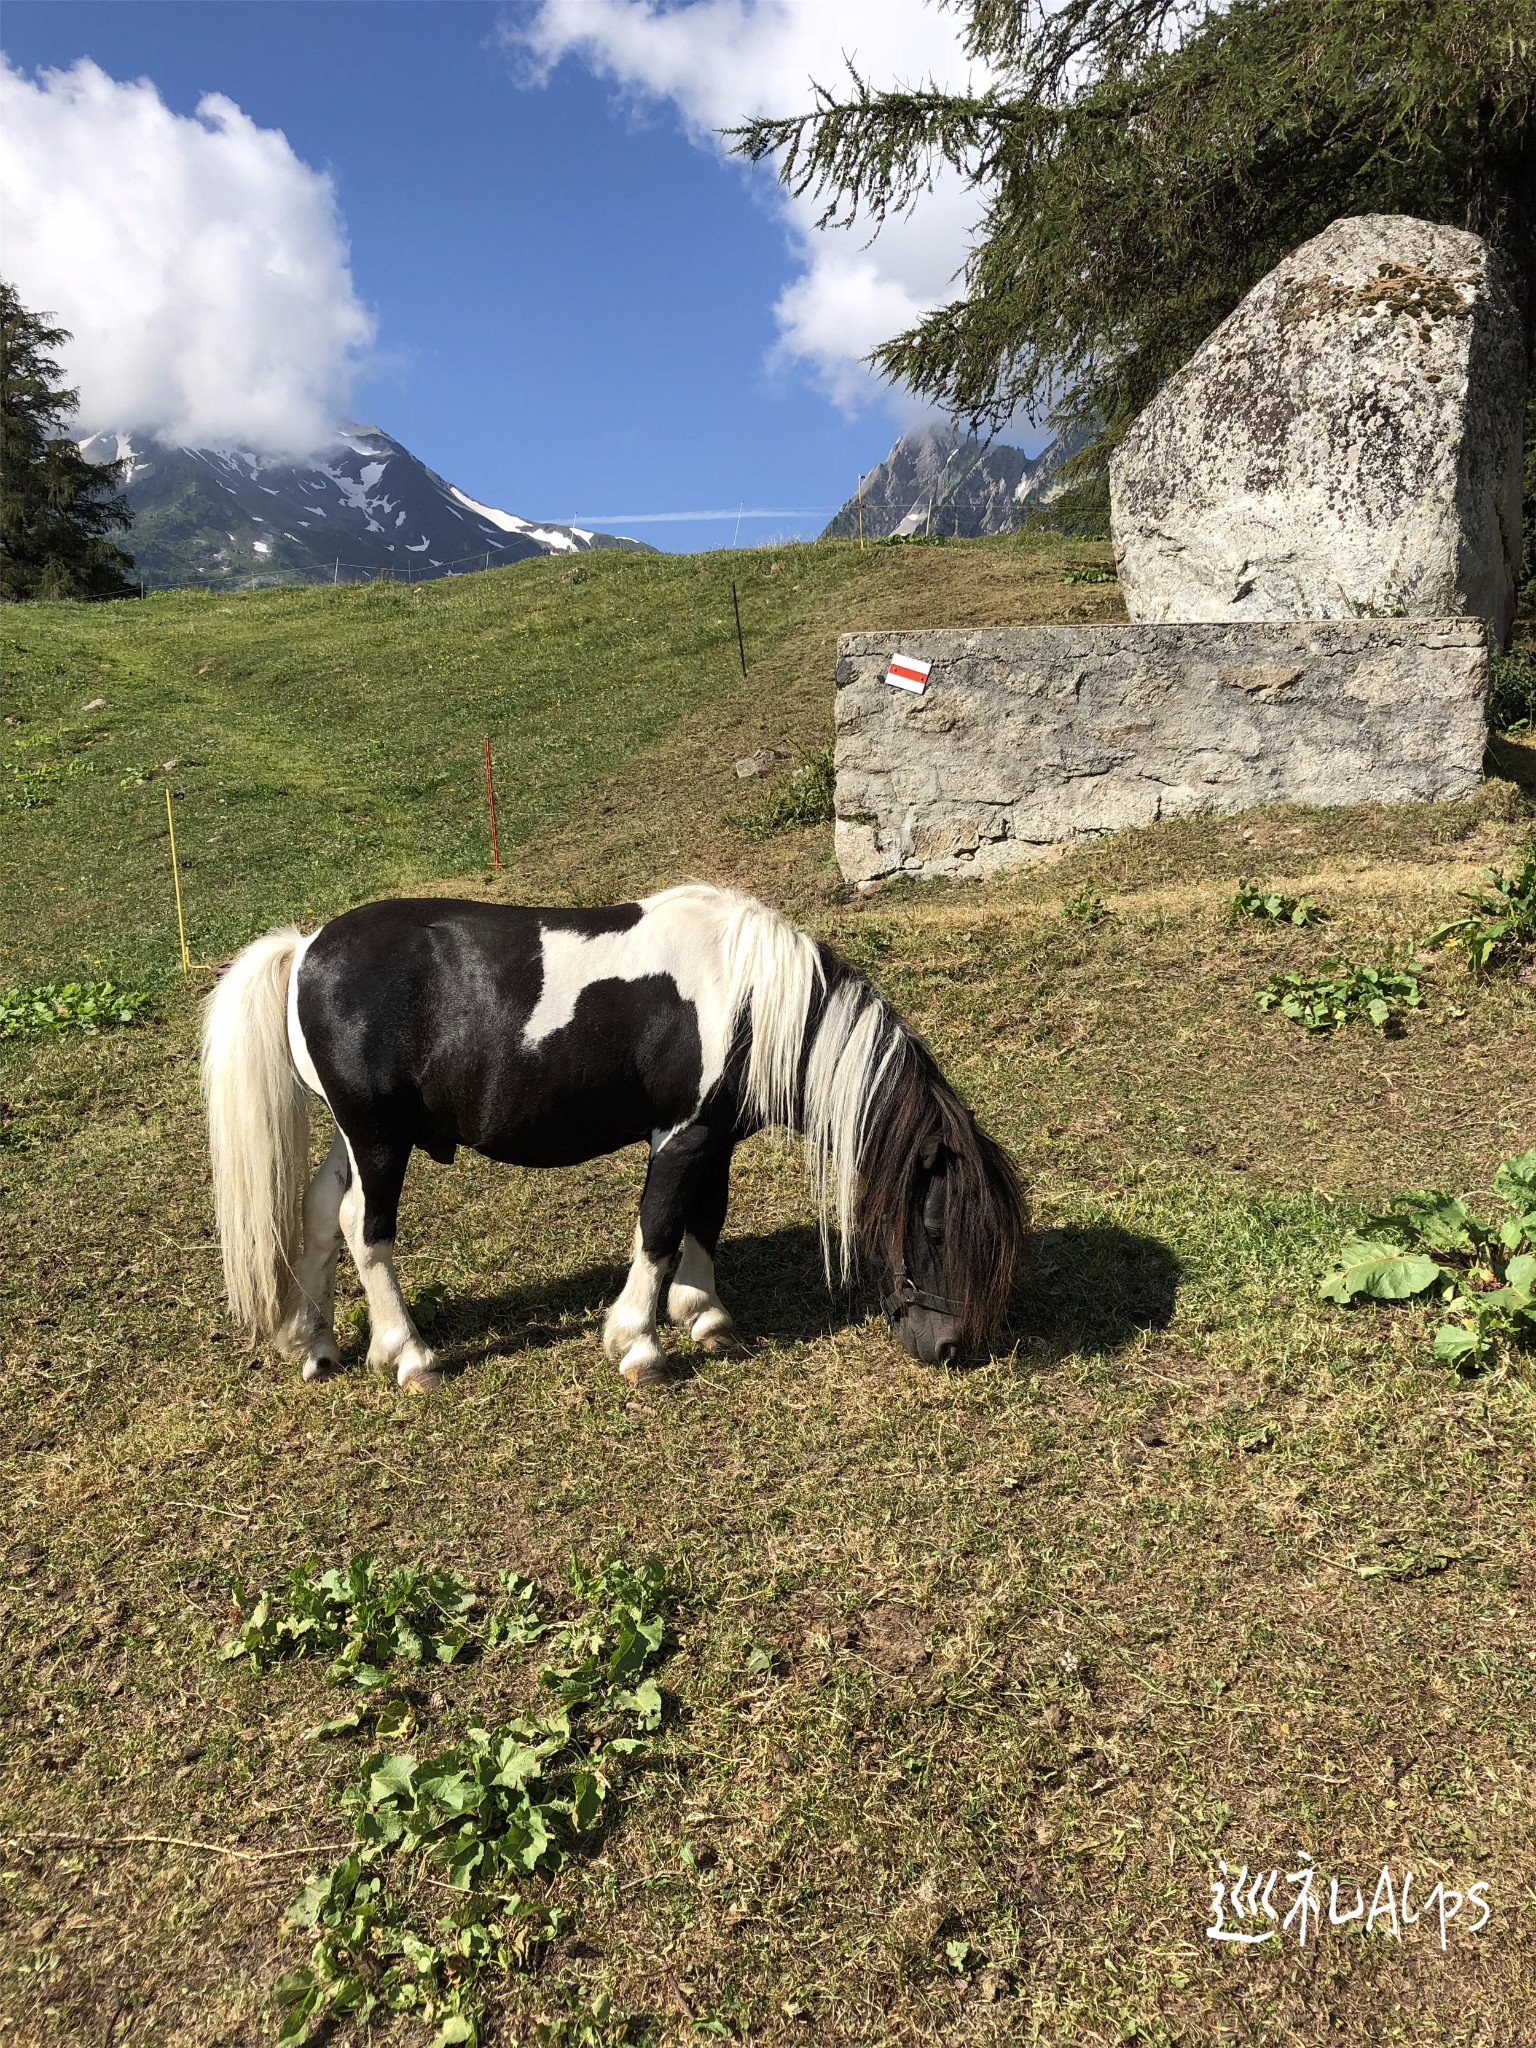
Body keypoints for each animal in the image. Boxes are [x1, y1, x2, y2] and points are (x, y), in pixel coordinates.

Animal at [201, 884, 1024, 1392]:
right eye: (936, 1228)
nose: (949, 1347)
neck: (749, 996)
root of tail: (306, 947)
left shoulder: (713, 1140)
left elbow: (704, 1220)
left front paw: (705, 1315)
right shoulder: (680, 1137)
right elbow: (657, 1231)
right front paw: (639, 1343)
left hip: (363, 1136)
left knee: (317, 1215)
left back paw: (315, 1345)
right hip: (378, 1139)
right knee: (363, 1229)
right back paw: (409, 1356)